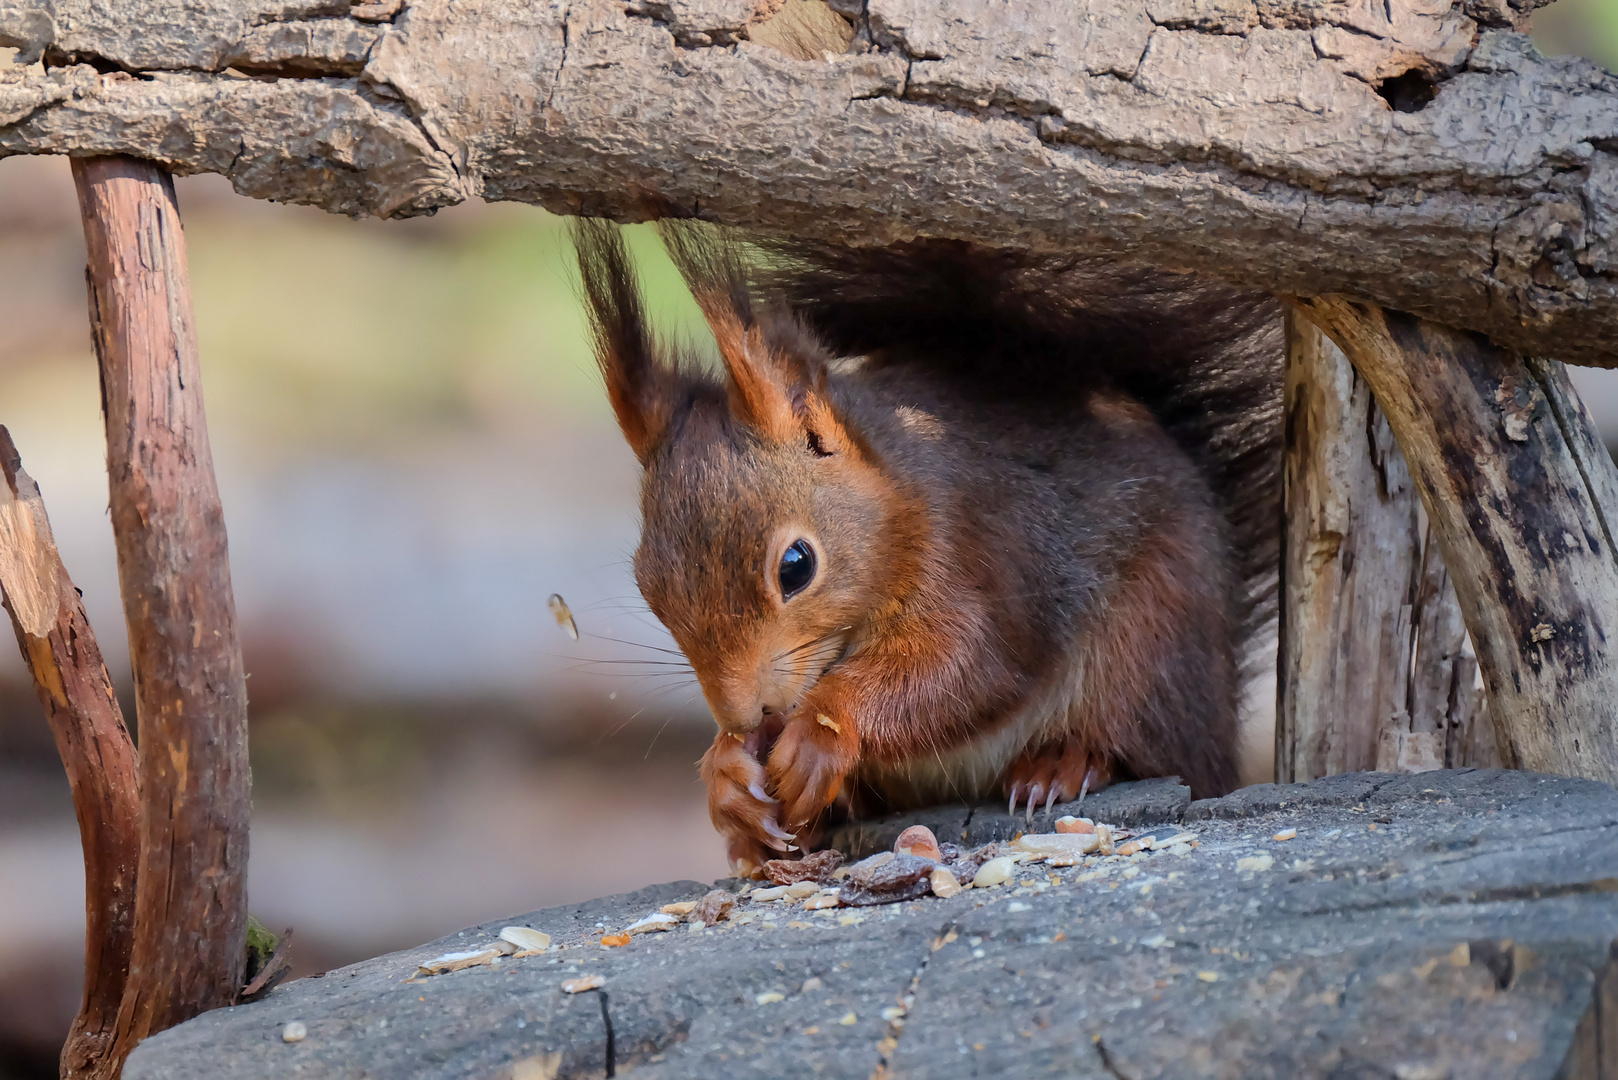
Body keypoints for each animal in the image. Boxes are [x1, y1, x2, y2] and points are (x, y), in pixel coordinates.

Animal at [569, 220, 1274, 867]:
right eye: (648, 587)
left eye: (796, 566)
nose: (749, 717)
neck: (897, 498)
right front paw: (727, 775)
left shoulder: (977, 546)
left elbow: (967, 667)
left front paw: (821, 731)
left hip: (1154, 641)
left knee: (1140, 743)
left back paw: (1062, 764)